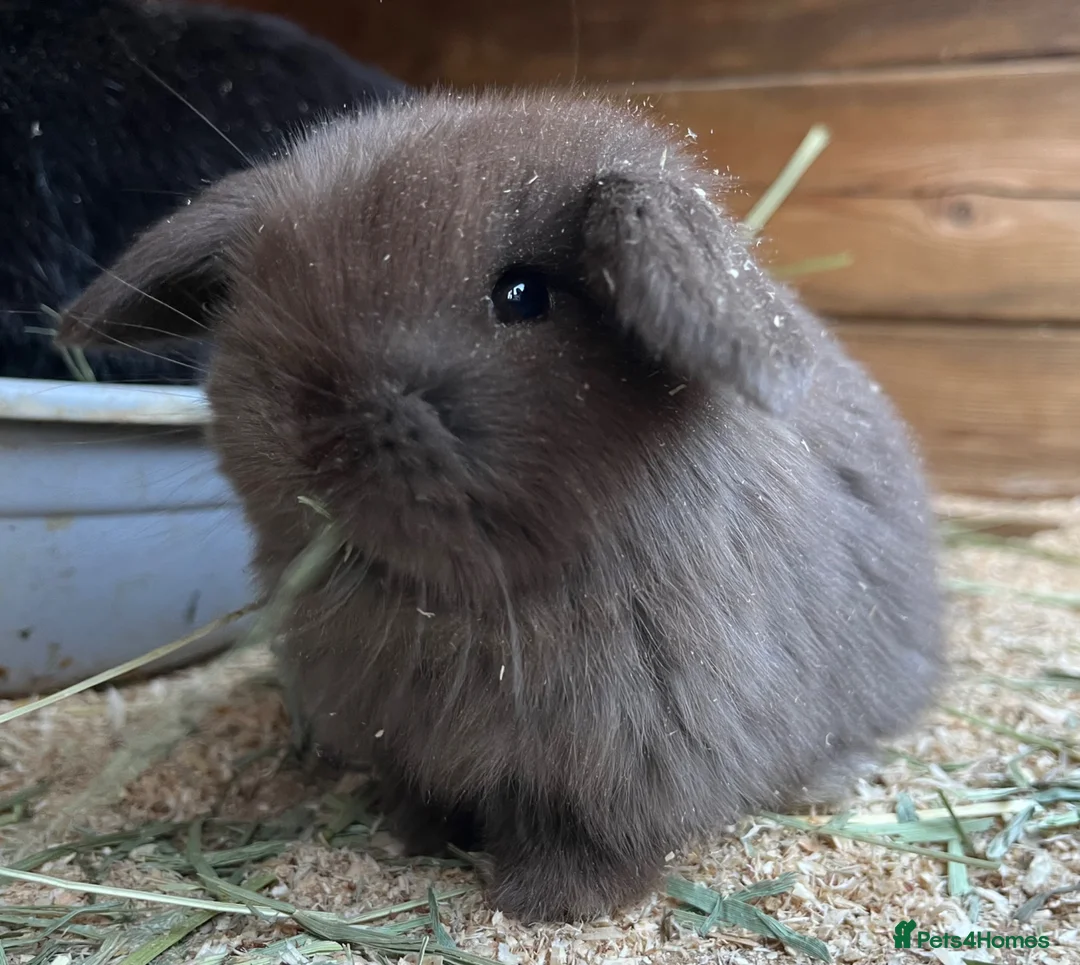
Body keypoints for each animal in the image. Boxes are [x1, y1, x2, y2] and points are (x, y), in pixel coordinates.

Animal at [56, 88, 946, 924]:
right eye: (268, 283)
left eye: (523, 294)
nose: (311, 424)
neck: (456, 607)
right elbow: (424, 795)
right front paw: (409, 838)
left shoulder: (625, 765)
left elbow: (591, 839)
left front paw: (550, 903)